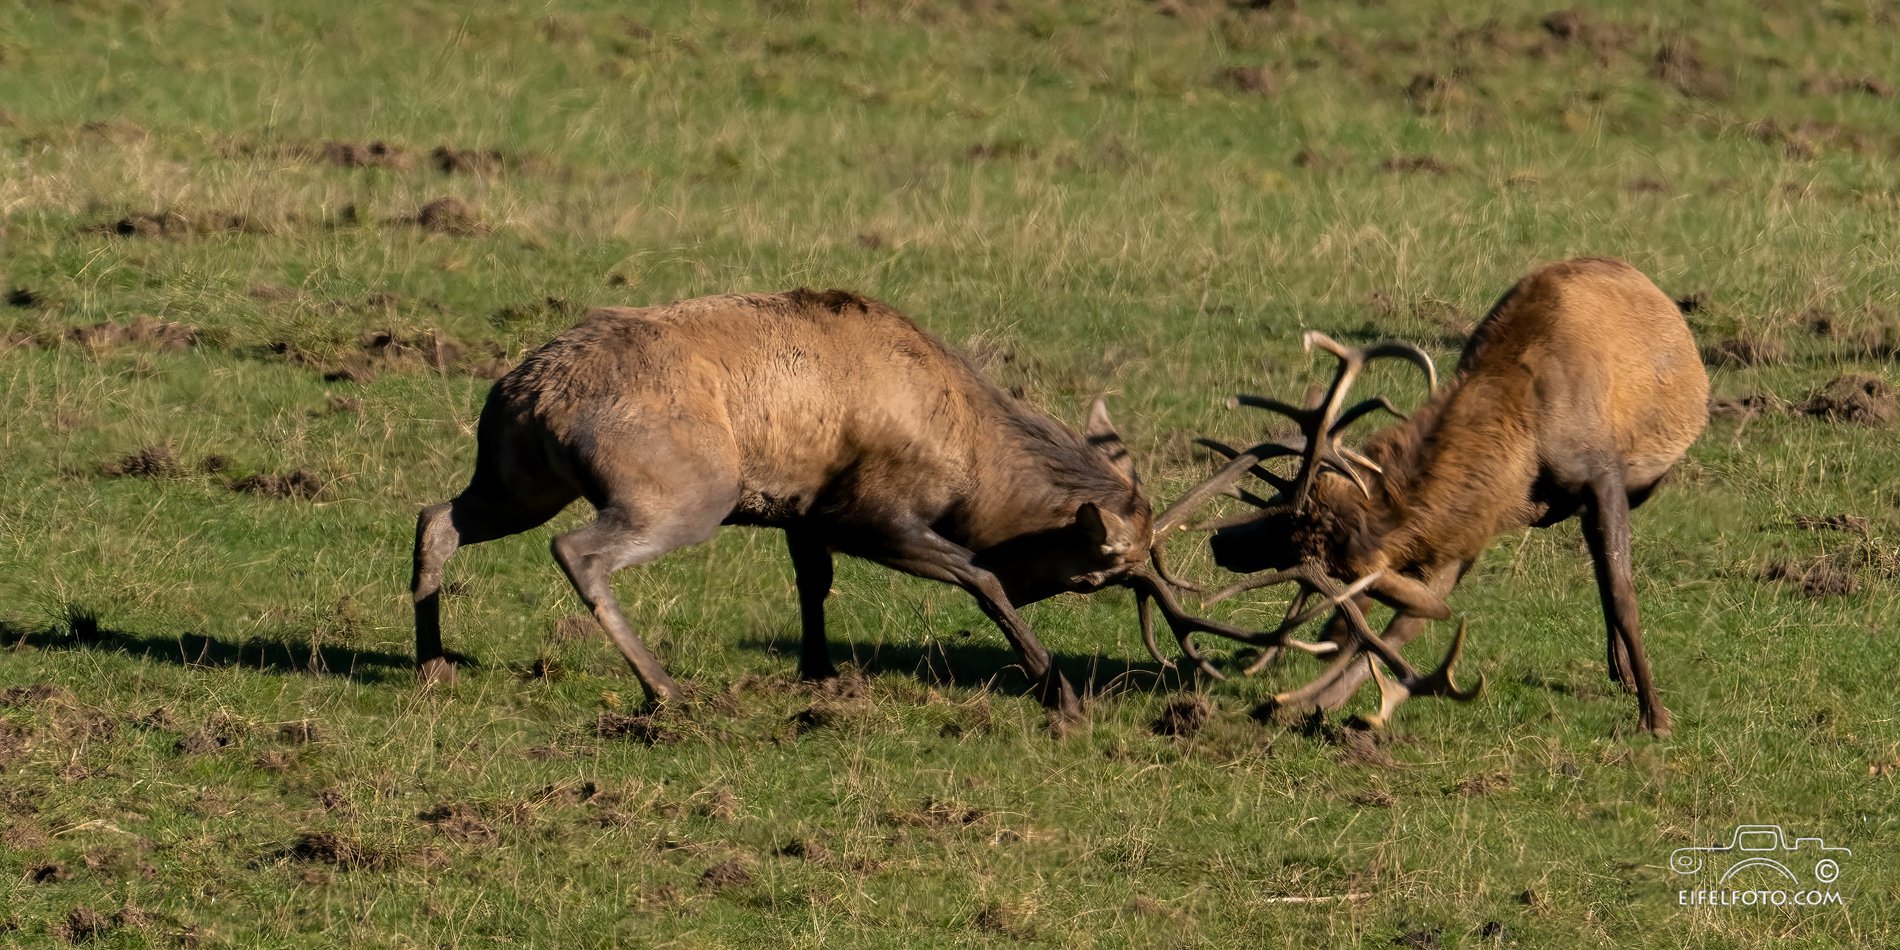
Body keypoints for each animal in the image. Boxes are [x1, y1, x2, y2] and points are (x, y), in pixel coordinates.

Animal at [410, 287, 1243, 720]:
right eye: (1093, 576)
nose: (1046, 588)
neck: (970, 461)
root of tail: (533, 391)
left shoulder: (802, 511)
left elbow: (813, 586)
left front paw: (820, 673)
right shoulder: (868, 513)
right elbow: (979, 576)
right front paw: (1059, 690)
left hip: (518, 477)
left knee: (435, 516)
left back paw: (433, 664)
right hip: (685, 489)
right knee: (575, 550)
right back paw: (663, 685)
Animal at [1156, 257, 1708, 735]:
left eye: (1295, 541)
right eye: (1277, 515)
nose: (1221, 542)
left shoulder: (1602, 473)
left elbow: (1623, 593)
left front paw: (1655, 716)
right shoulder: (1466, 530)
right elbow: (1404, 625)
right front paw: (1315, 703)